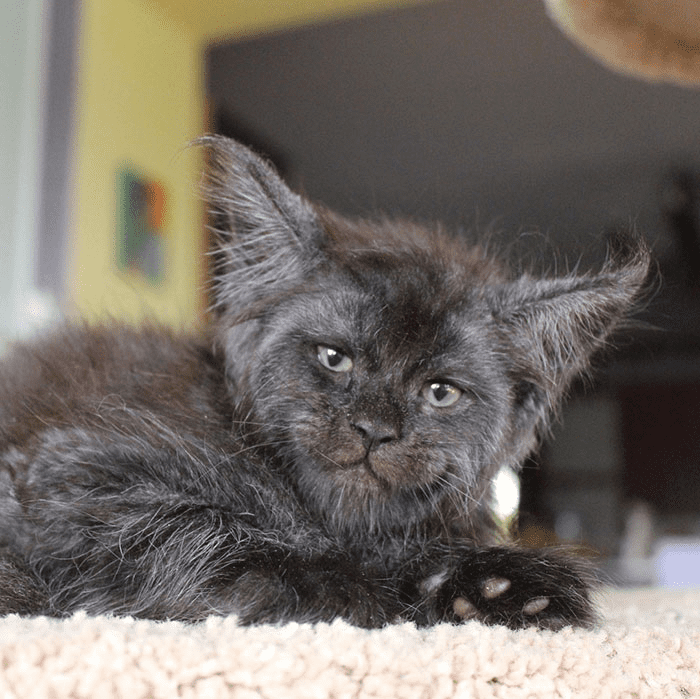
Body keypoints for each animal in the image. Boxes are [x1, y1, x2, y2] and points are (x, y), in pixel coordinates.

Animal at [0, 137, 648, 628]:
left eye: (440, 391)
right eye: (335, 358)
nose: (374, 430)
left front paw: (498, 587)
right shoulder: (76, 472)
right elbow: (204, 529)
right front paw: (351, 585)